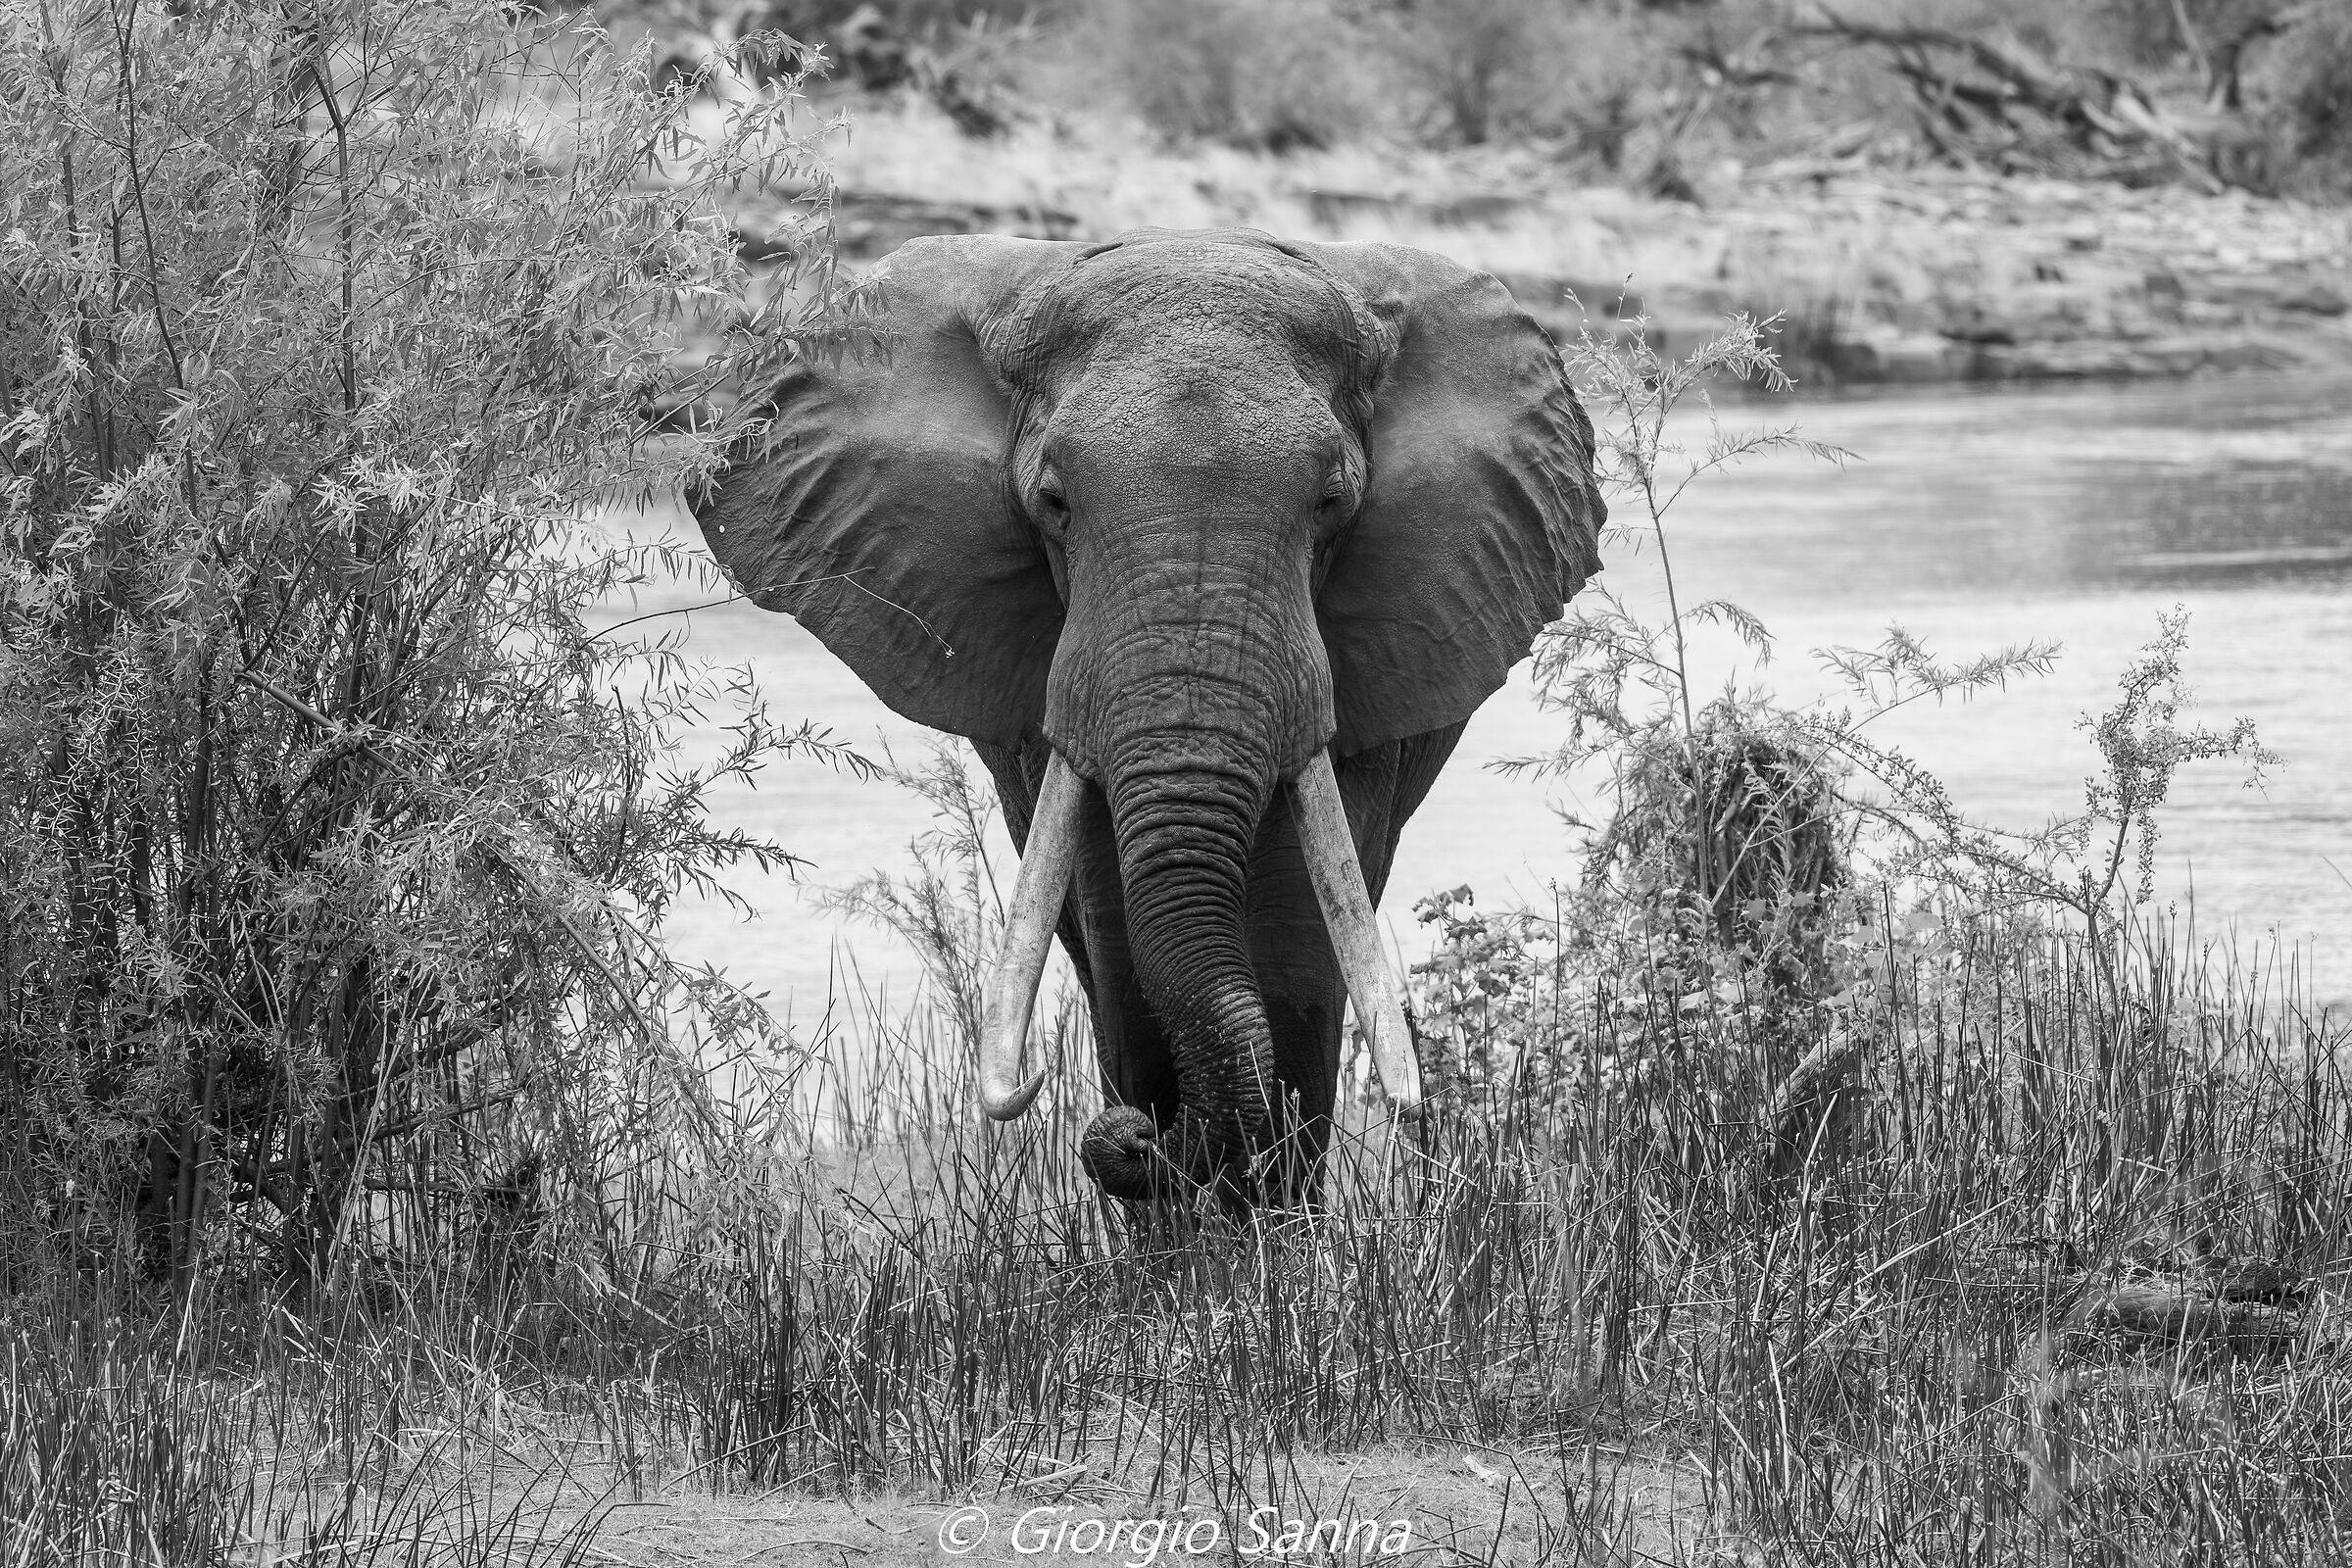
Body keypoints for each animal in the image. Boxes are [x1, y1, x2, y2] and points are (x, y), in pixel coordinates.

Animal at [693, 226, 1604, 1205]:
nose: (1134, 1140)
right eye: (1053, 503)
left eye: (1332, 504)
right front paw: (1180, 1220)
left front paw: (1259, 1228)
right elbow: (1122, 946)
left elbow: (1299, 949)